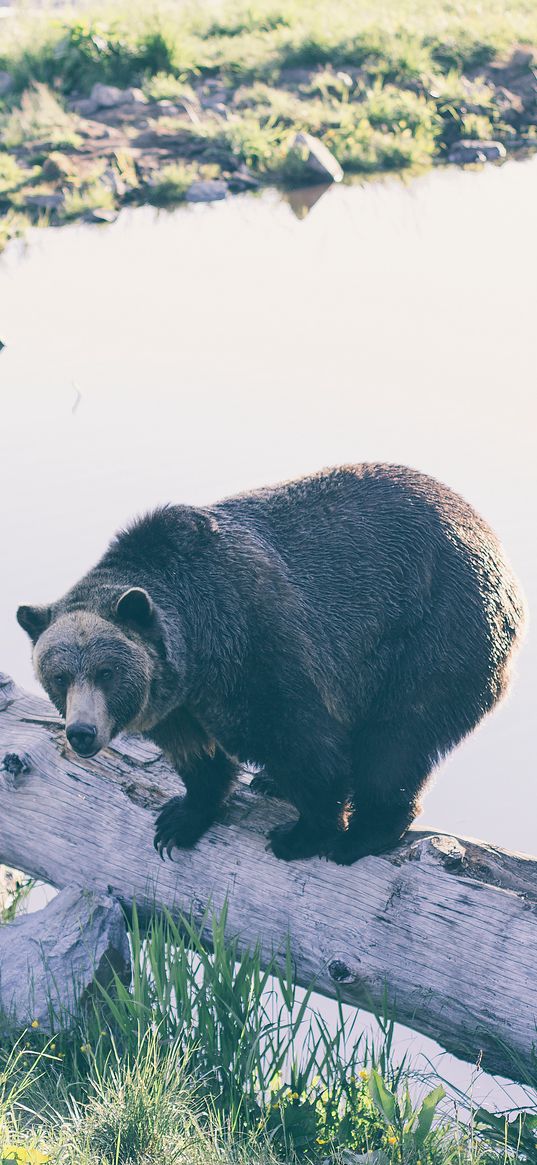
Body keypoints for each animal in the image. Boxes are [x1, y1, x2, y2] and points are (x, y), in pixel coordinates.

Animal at [15, 463, 524, 866]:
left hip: (433, 633)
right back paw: (271, 784)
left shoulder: (254, 647)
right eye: (58, 676)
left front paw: (302, 834)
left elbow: (304, 745)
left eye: (107, 672)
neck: (199, 650)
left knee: (396, 739)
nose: (82, 732)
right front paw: (179, 820)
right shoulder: (177, 701)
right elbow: (196, 756)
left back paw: (363, 834)